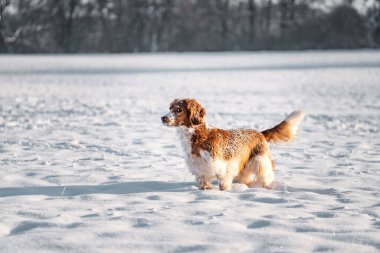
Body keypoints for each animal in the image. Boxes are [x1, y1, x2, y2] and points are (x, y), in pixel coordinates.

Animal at [161, 98, 306, 191]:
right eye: (170, 108)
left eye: (178, 109)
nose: (163, 118)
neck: (197, 136)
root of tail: (259, 133)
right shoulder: (200, 168)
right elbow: (204, 182)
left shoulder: (225, 165)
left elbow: (223, 183)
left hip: (259, 160)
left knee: (266, 175)